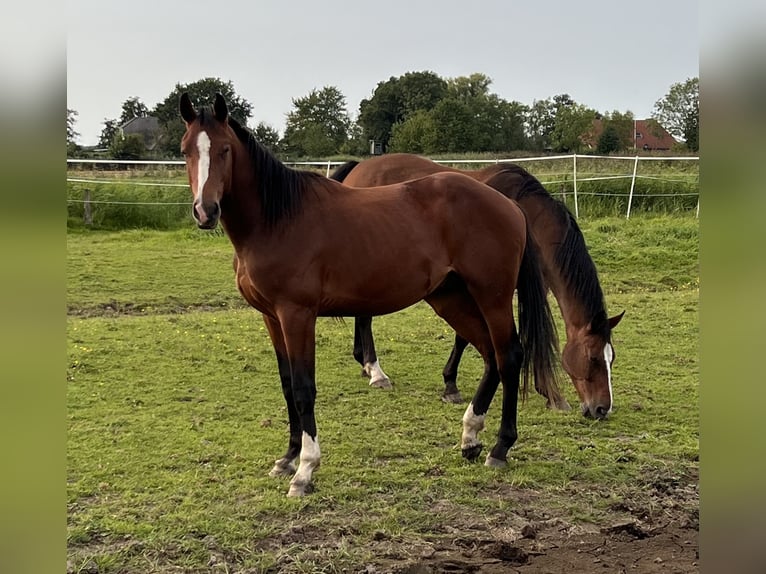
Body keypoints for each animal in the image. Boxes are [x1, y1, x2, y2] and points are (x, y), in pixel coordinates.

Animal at [182, 94, 564, 500]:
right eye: (186, 150)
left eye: (224, 150)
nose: (205, 211)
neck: (278, 219)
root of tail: (509, 204)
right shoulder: (271, 317)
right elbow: (287, 386)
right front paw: (287, 458)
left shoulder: (296, 314)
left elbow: (303, 389)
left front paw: (305, 469)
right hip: (451, 298)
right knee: (490, 356)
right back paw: (470, 438)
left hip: (492, 297)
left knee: (509, 356)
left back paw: (500, 447)